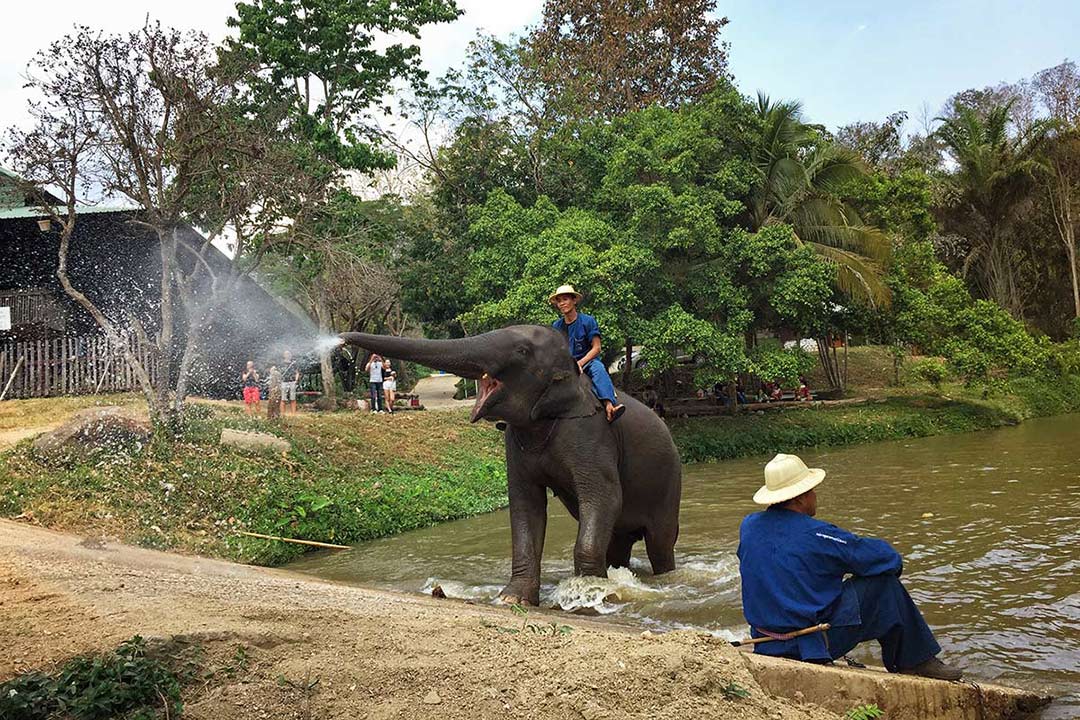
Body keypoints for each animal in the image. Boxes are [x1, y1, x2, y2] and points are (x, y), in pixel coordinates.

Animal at [340, 325, 682, 606]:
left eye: (521, 351)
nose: (341, 339)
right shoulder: (515, 443)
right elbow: (525, 506)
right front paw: (512, 600)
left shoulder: (591, 432)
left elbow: (603, 497)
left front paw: (588, 596)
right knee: (618, 542)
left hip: (669, 484)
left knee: (660, 544)